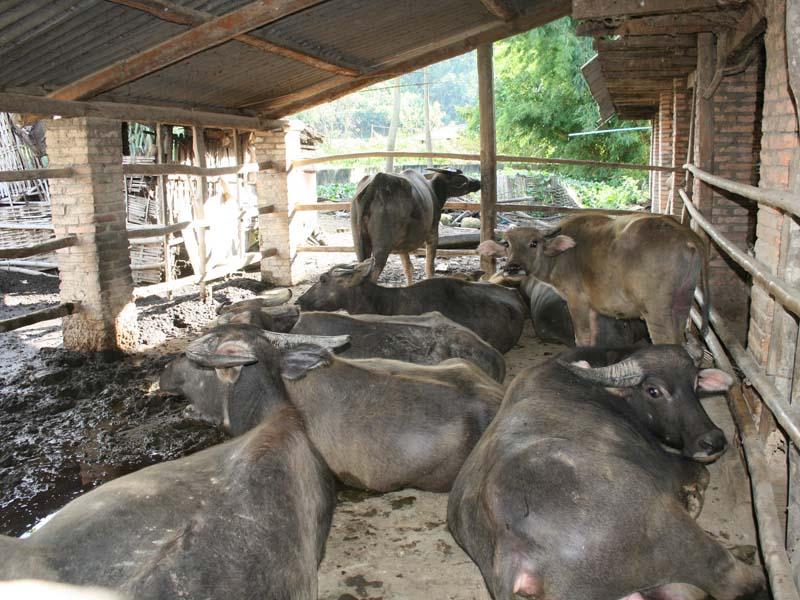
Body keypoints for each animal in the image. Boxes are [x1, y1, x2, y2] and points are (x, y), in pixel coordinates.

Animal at [446, 344, 764, 600]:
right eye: (654, 390)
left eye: (695, 382)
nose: (713, 441)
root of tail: (512, 554)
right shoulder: (666, 464)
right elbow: (701, 472)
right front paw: (694, 498)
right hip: (669, 527)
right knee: (731, 581)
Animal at [478, 214, 708, 346]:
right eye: (507, 244)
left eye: (534, 243)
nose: (513, 267)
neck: (562, 255)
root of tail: (688, 236)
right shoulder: (593, 308)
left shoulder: (576, 300)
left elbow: (582, 337)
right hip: (682, 303)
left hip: (656, 311)